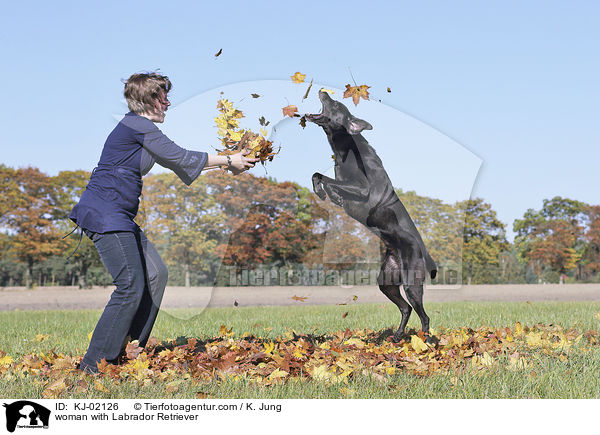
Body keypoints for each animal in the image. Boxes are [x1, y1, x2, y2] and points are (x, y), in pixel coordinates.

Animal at [308, 91, 438, 344]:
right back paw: (396, 337)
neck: (346, 148)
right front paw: (327, 193)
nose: (323, 91)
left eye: (336, 105)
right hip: (386, 282)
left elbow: (328, 179)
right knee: (406, 308)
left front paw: (331, 193)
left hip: (411, 283)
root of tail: (422, 251)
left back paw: (426, 343)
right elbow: (318, 174)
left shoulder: (364, 190)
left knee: (424, 316)